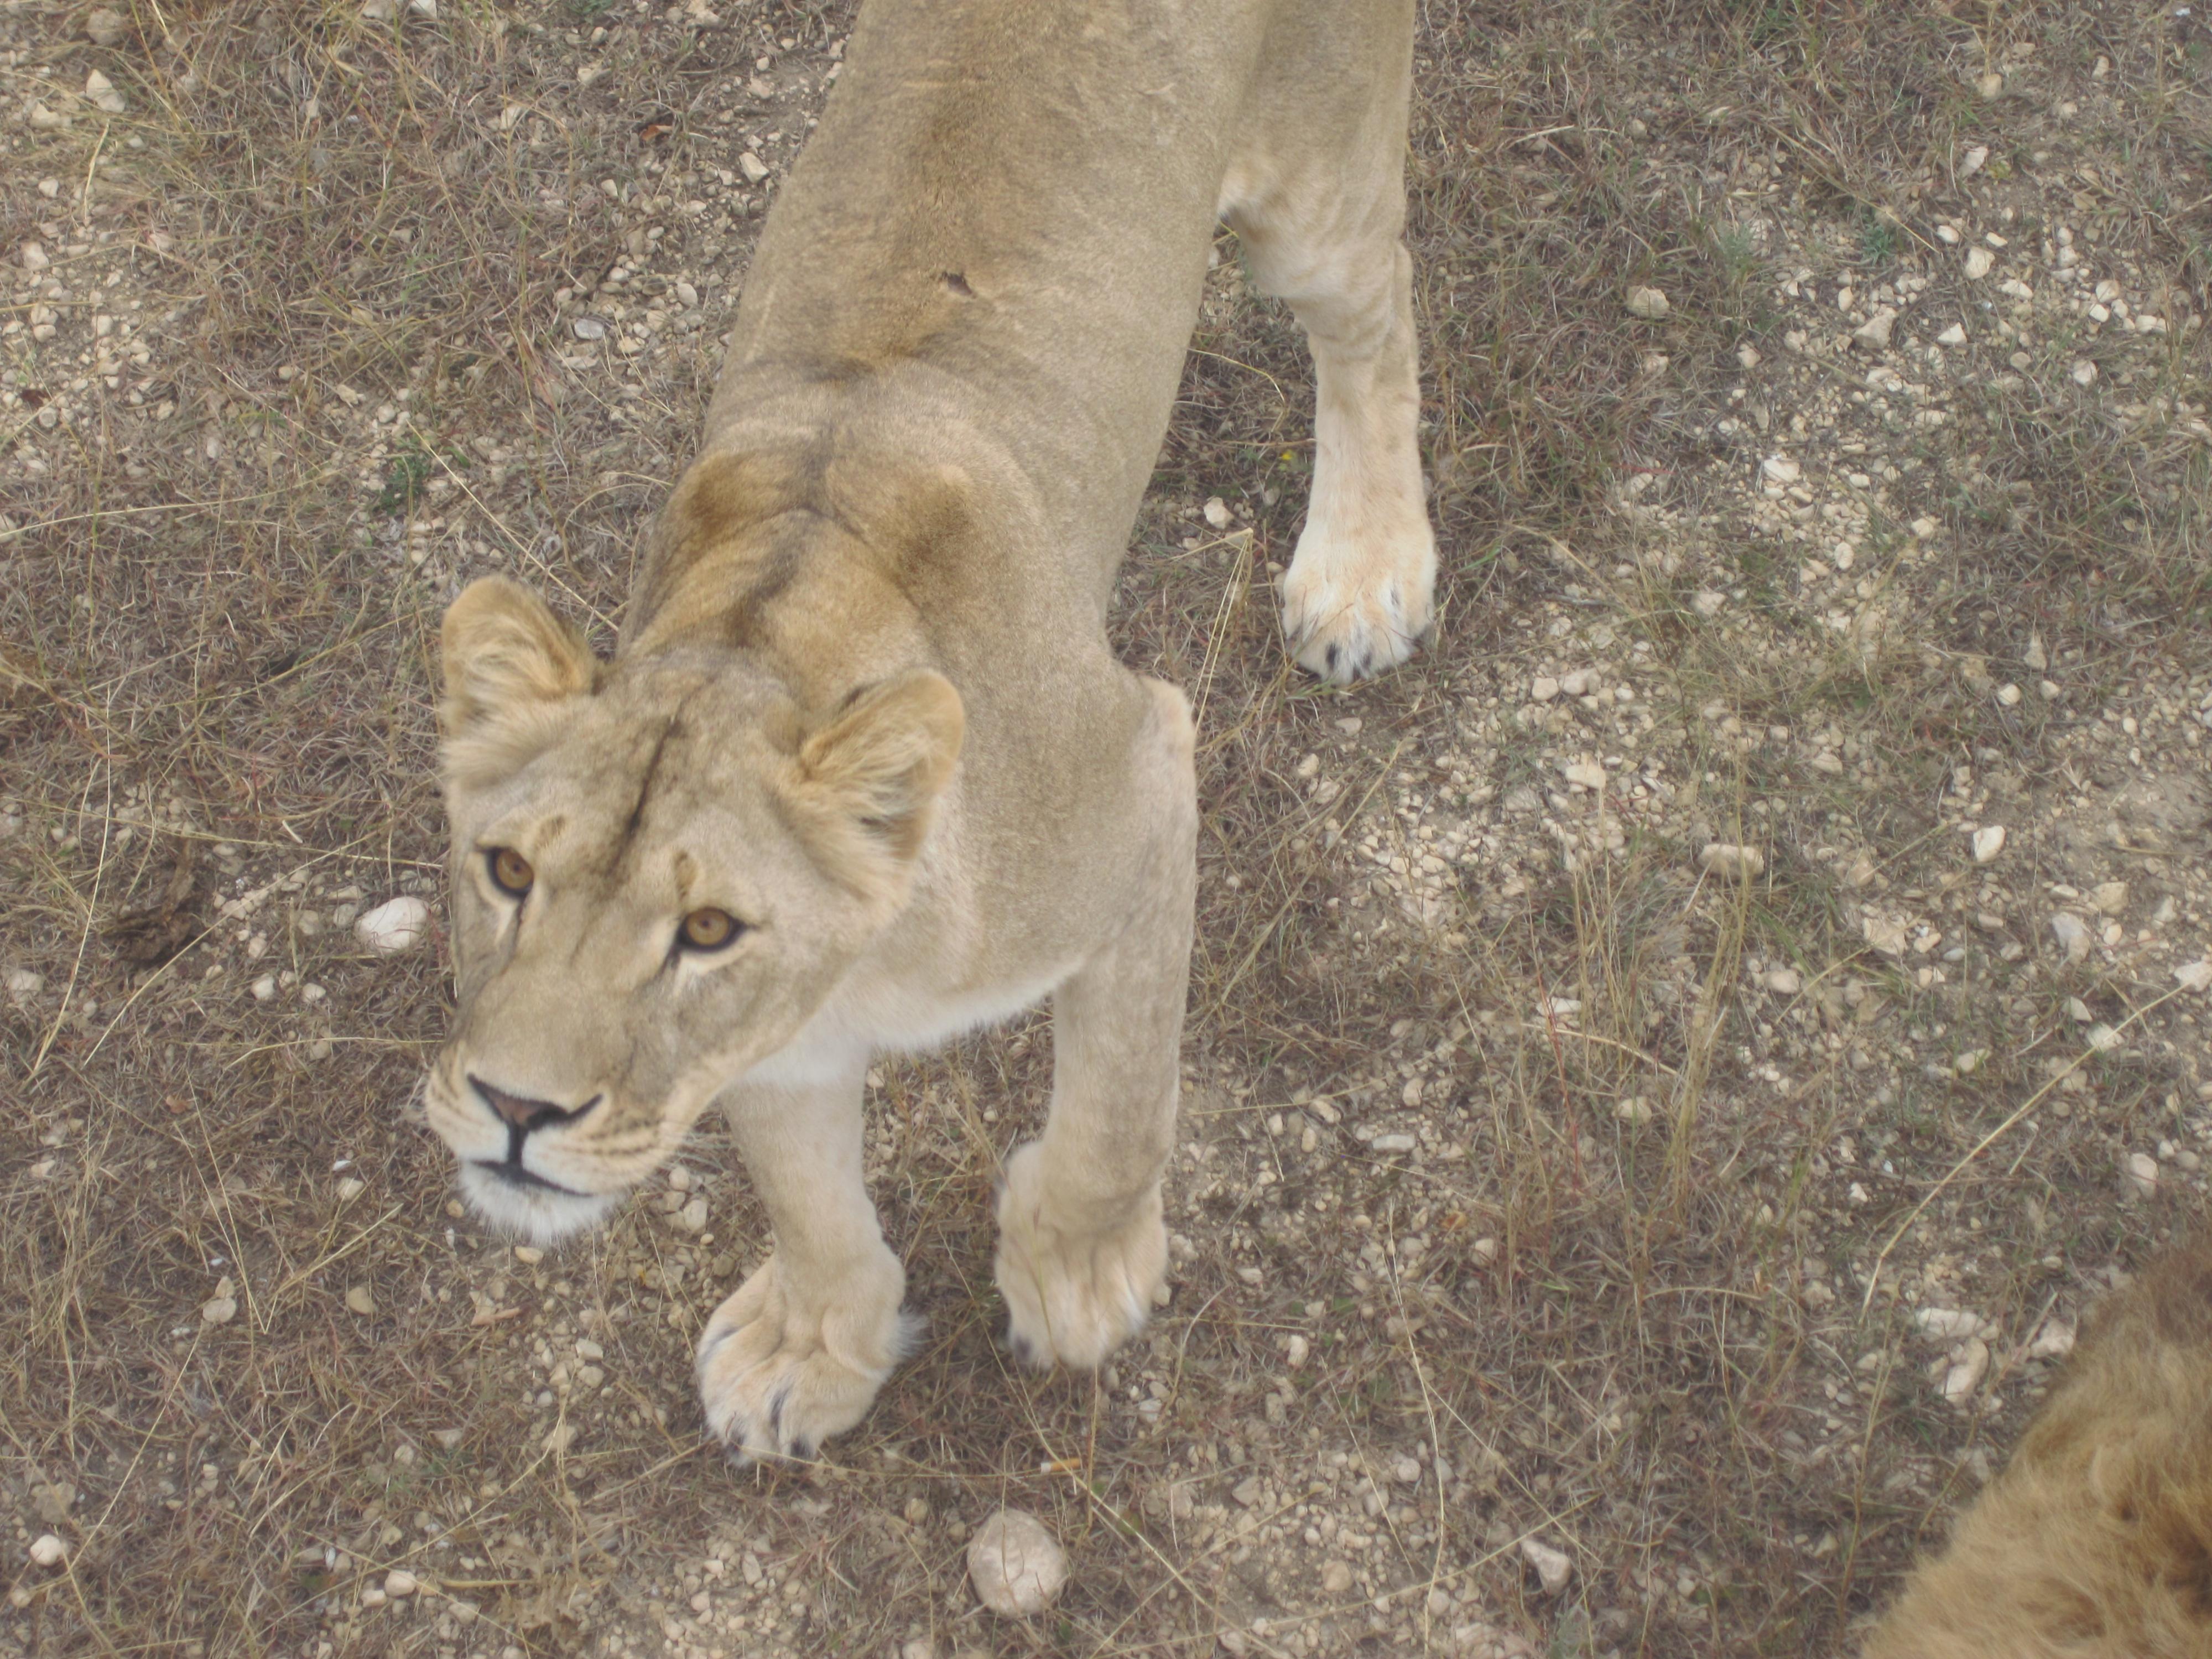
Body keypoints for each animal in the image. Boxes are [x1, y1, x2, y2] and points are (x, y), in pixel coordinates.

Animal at [423, 0, 1438, 1461]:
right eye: (506, 870)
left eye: (706, 929)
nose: (514, 1111)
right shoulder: (775, 1040)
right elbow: (808, 1202)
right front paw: (809, 1351)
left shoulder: (1143, 780)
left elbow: (1117, 1108)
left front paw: (1076, 1278)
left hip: (1315, 192)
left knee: (1375, 315)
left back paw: (1365, 572)